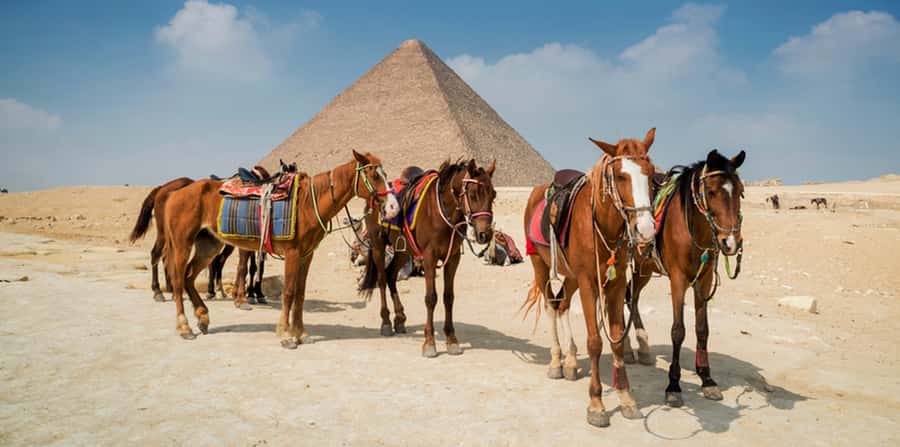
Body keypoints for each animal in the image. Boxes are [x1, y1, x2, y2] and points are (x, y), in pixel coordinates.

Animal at [161, 151, 399, 348]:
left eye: (385, 173)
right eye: (373, 174)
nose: (393, 207)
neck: (308, 203)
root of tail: (175, 194)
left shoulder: (306, 255)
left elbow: (300, 294)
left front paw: (301, 333)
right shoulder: (292, 253)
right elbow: (289, 292)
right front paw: (286, 335)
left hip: (209, 244)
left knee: (189, 277)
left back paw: (202, 317)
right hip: (182, 243)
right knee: (179, 279)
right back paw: (184, 327)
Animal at [359, 159, 496, 357]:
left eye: (493, 195)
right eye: (472, 194)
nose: (484, 234)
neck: (442, 211)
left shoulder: (453, 258)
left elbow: (448, 297)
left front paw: (451, 340)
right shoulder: (429, 256)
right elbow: (431, 298)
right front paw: (429, 342)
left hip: (404, 250)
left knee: (391, 275)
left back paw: (399, 318)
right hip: (378, 245)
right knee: (383, 279)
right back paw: (386, 322)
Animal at [521, 128, 657, 428]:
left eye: (652, 174)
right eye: (620, 176)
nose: (645, 230)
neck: (604, 225)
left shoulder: (615, 284)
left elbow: (616, 340)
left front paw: (626, 398)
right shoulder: (588, 282)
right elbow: (595, 342)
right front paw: (596, 403)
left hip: (571, 275)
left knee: (562, 304)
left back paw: (572, 362)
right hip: (541, 265)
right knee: (551, 305)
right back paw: (556, 362)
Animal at [624, 149, 746, 408]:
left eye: (741, 191)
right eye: (711, 192)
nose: (730, 242)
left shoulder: (705, 279)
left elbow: (702, 329)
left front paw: (707, 379)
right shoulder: (678, 279)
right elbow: (678, 331)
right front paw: (673, 385)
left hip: (645, 267)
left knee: (631, 296)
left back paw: (642, 348)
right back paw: (628, 349)